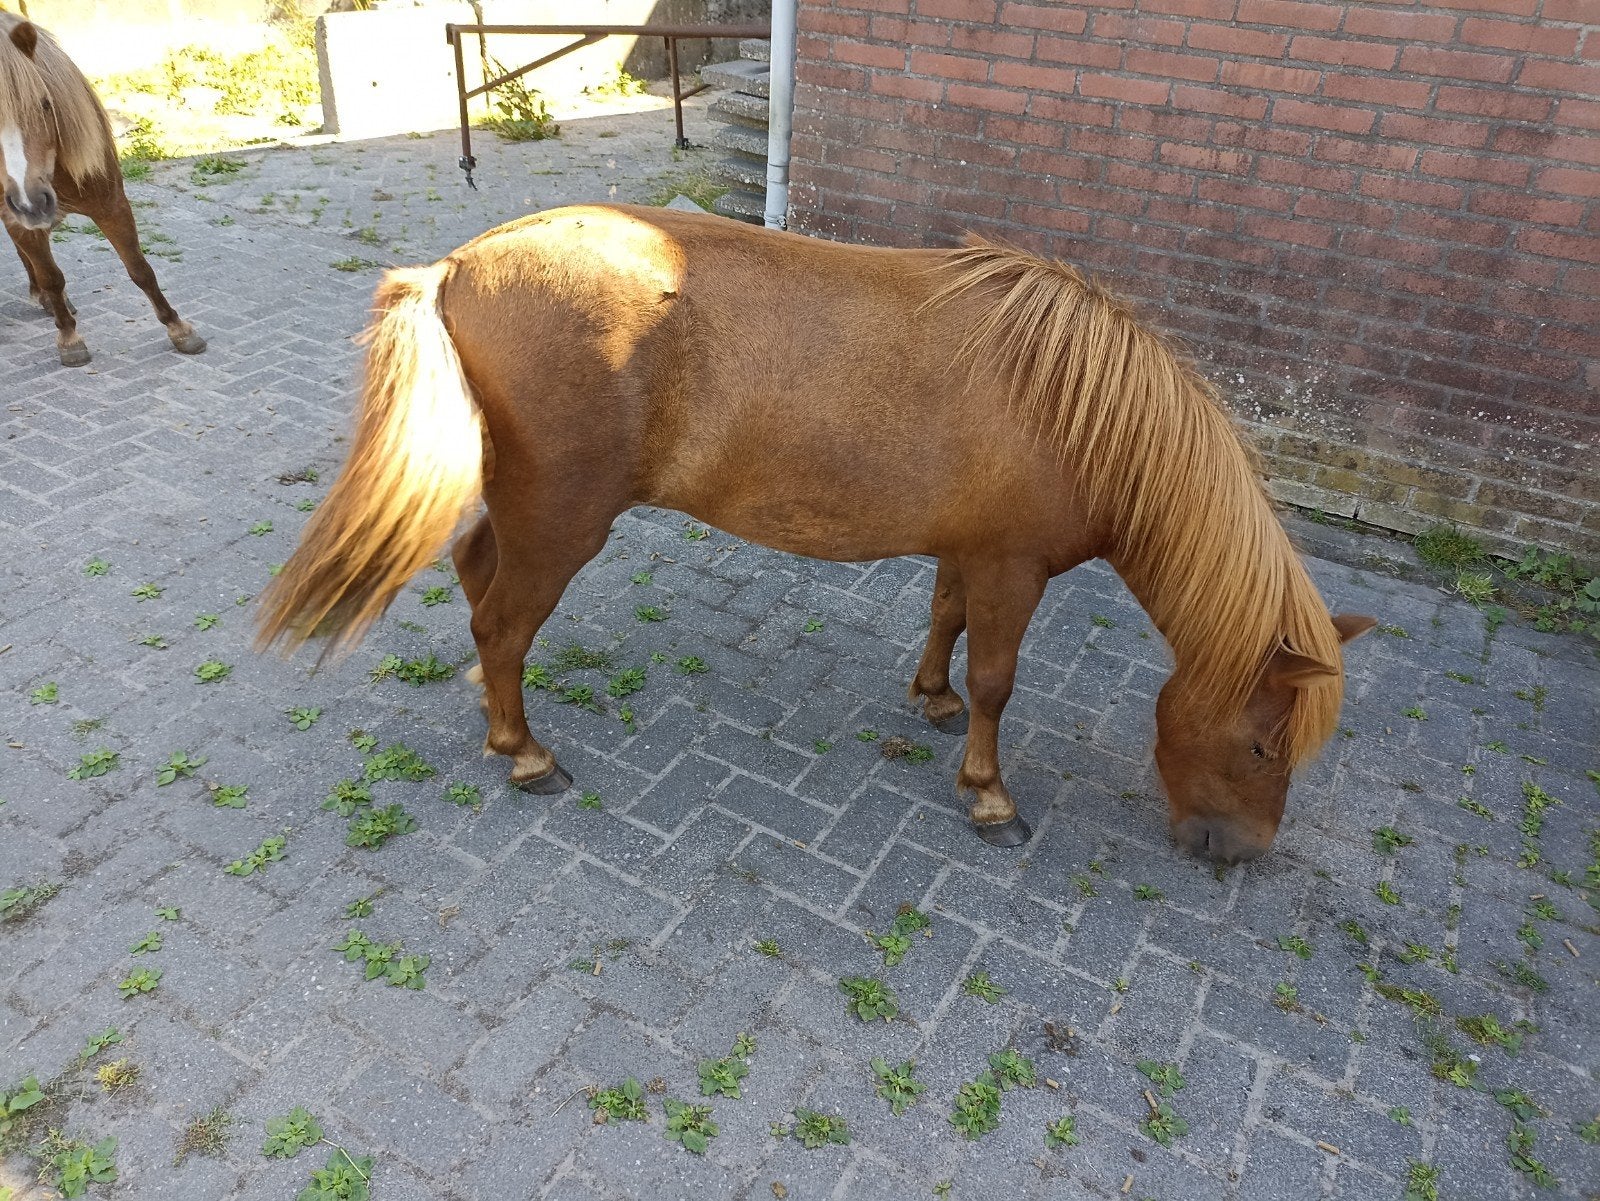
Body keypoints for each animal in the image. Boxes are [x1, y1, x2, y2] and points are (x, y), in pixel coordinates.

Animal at [0, 14, 204, 366]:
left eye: (45, 104)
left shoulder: (111, 204)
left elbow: (140, 269)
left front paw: (179, 329)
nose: (31, 203)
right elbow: (51, 277)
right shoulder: (19, 220)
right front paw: (69, 339)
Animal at [256, 202, 1375, 863]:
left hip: (527, 503)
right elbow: (997, 680)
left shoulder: (970, 552)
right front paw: (988, 795)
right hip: (562, 520)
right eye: (1264, 743)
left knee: (476, 573)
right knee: (501, 623)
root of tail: (455, 266)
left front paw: (930, 701)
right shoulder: (1013, 568)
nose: (1236, 850)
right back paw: (522, 750)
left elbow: (945, 624)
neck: (1077, 407)